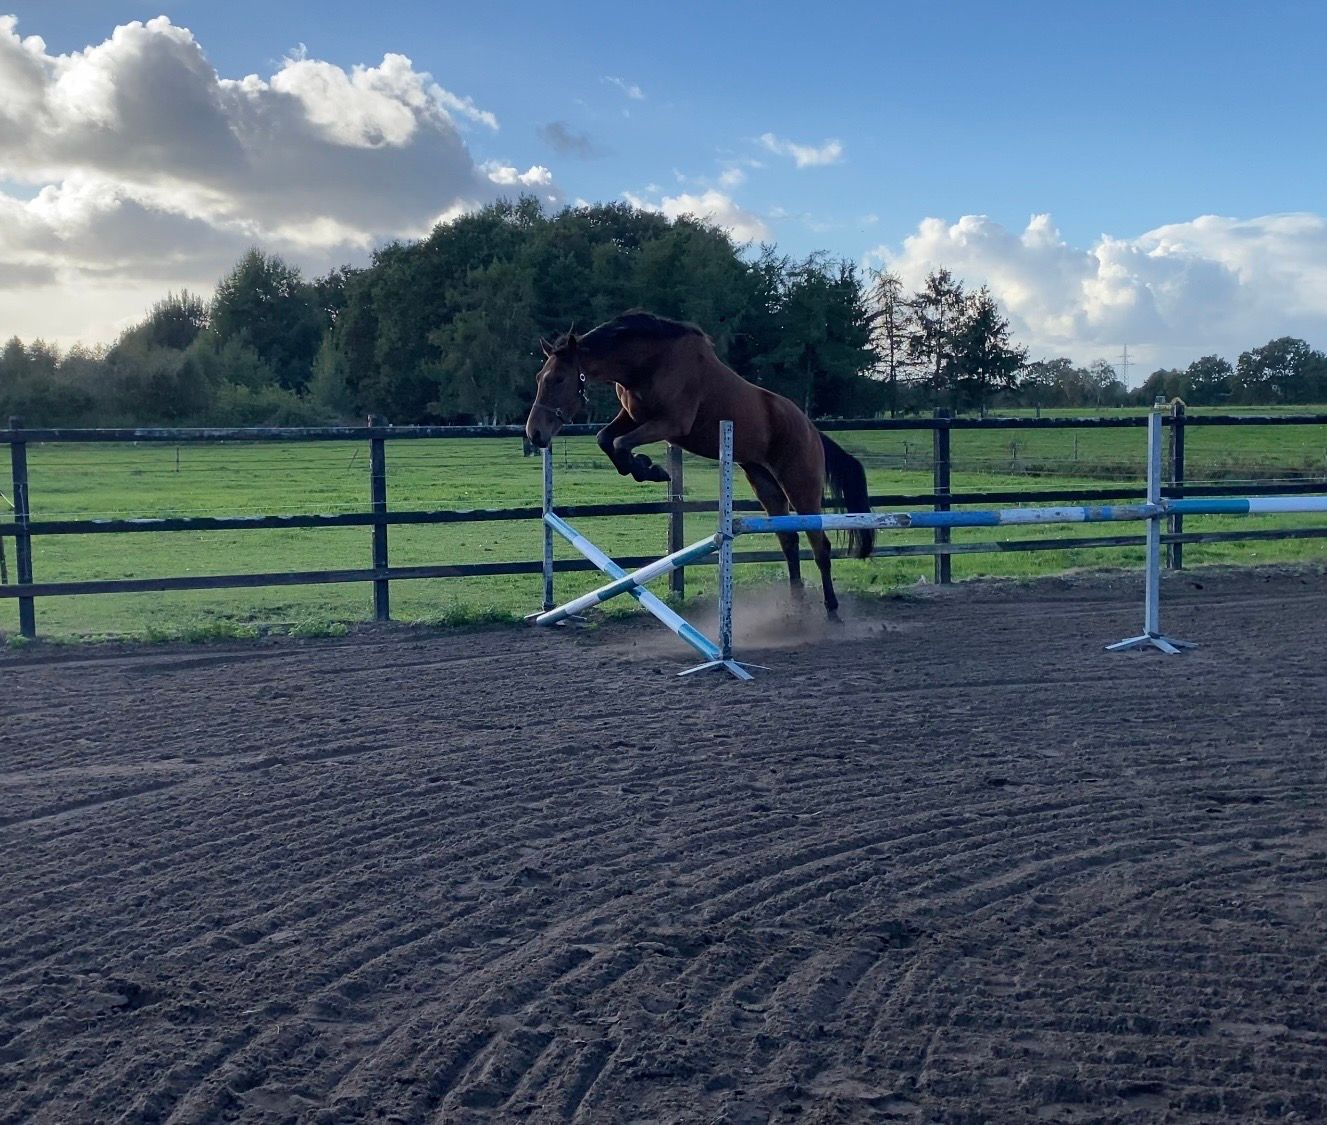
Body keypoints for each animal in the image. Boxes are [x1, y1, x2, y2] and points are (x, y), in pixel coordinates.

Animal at [524, 311, 874, 618]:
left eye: (558, 379)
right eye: (539, 377)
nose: (535, 433)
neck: (647, 363)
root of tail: (811, 429)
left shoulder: (671, 424)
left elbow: (620, 443)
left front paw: (650, 469)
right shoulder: (632, 416)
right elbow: (605, 439)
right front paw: (643, 468)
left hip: (800, 487)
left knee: (820, 546)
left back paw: (831, 609)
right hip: (765, 484)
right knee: (789, 542)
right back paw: (796, 605)